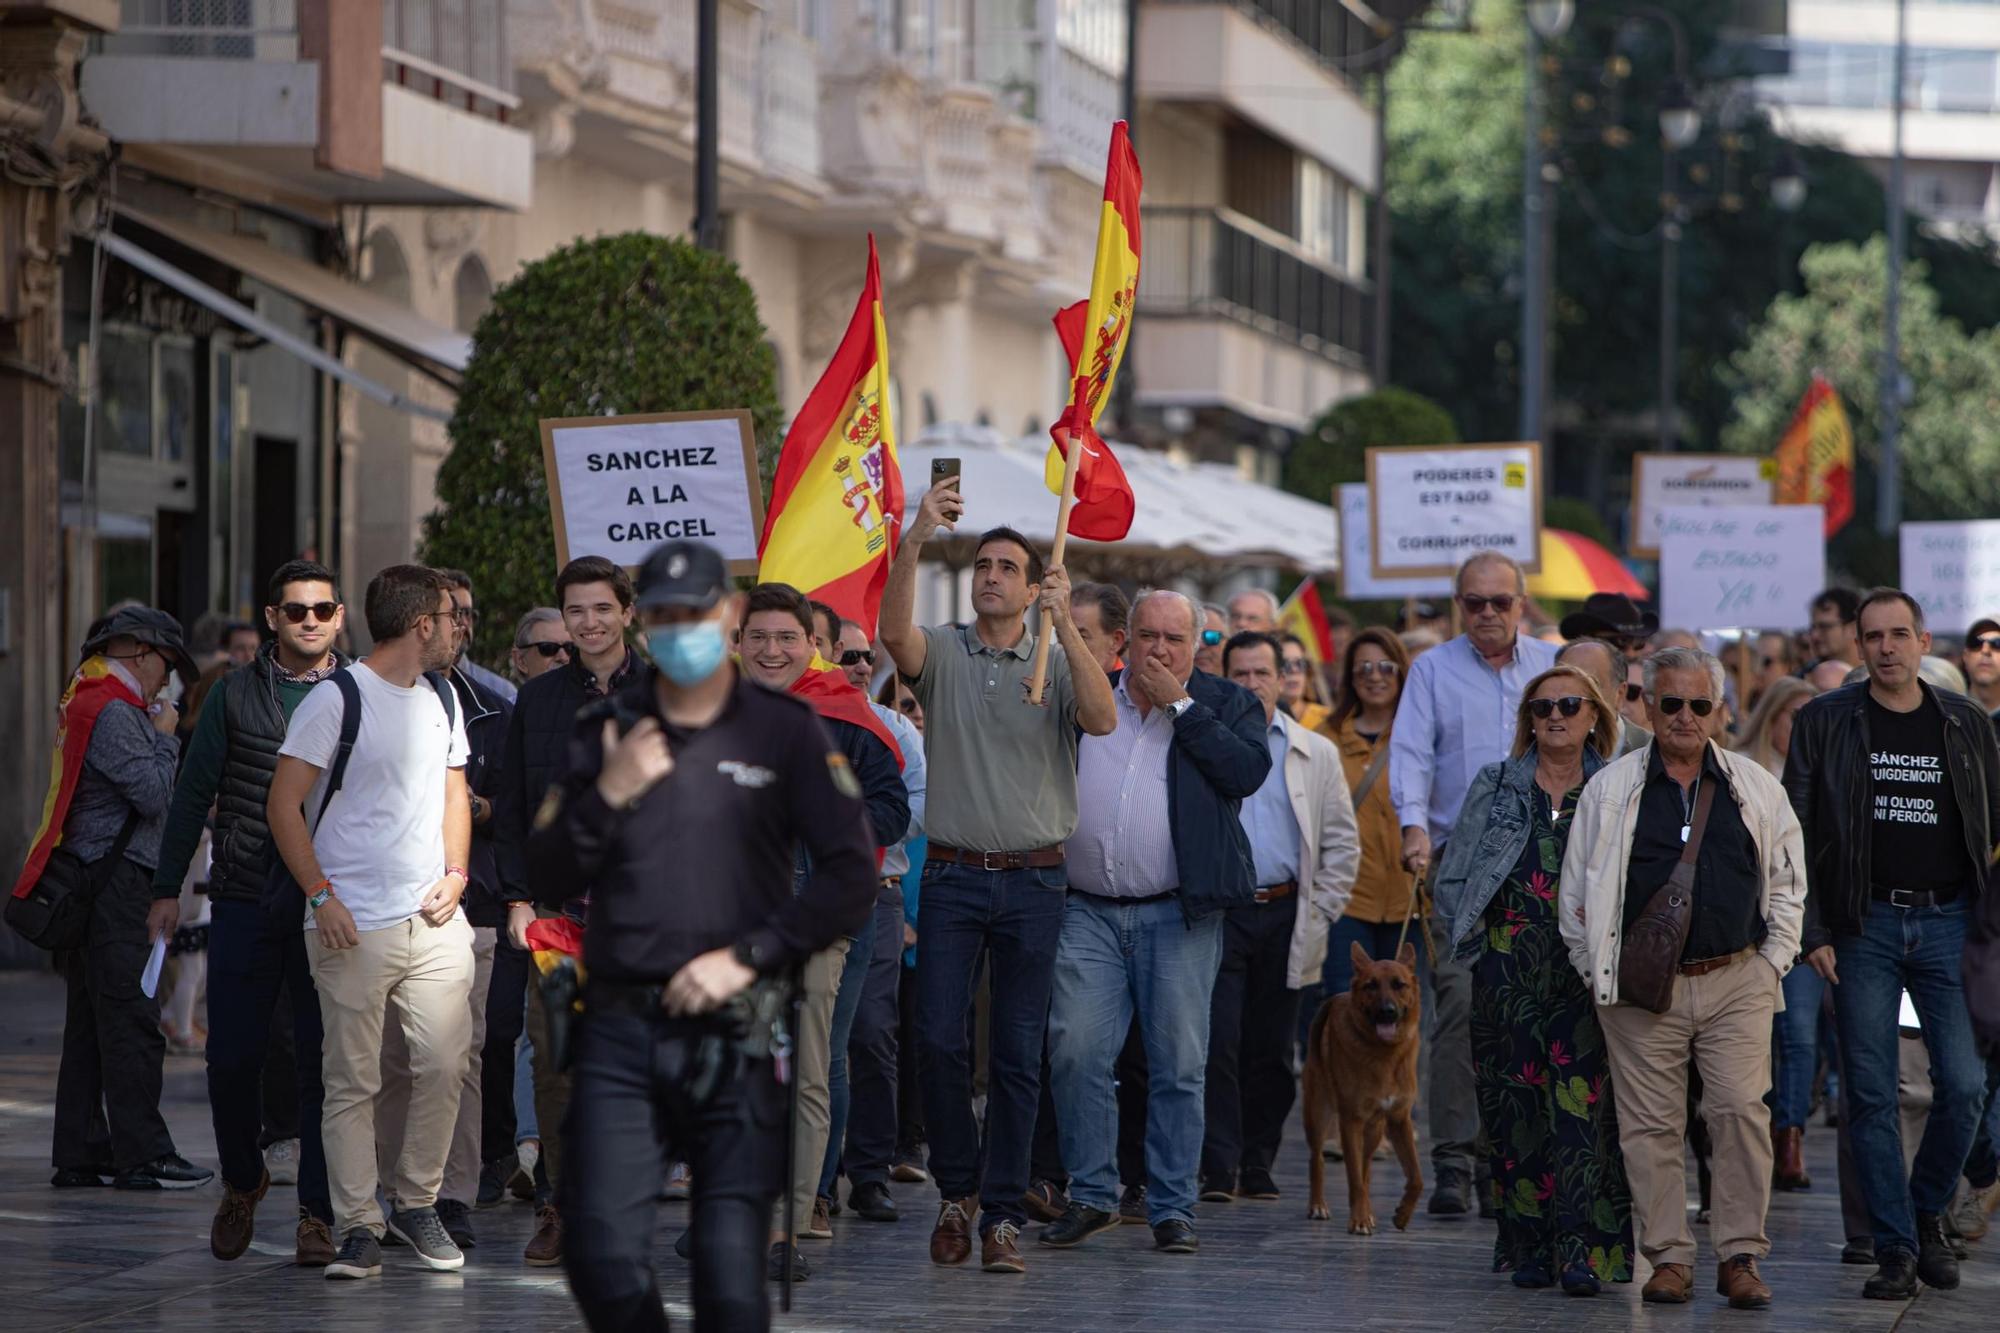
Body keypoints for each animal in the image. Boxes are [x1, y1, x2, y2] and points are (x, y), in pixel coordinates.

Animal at [1304, 940, 1432, 1232]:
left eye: (1399, 985)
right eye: (1370, 986)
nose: (1387, 1011)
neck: (1384, 1054)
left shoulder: (1399, 1120)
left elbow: (1417, 1177)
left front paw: (1402, 1214)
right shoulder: (1350, 1121)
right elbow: (1354, 1178)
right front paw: (1359, 1220)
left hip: (1373, 1130)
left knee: (1365, 1167)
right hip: (1318, 1115)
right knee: (1317, 1159)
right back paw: (1318, 1205)